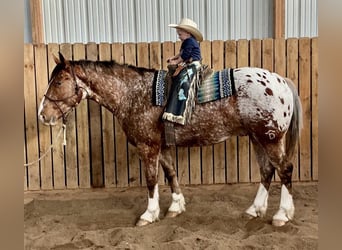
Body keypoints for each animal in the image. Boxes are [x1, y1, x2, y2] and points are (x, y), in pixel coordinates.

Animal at [38, 52, 304, 227]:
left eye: (59, 81)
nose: (42, 114)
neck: (133, 94)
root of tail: (281, 81)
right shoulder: (162, 146)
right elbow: (170, 172)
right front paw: (175, 206)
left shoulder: (148, 147)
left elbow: (151, 179)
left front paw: (149, 214)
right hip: (257, 138)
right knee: (267, 171)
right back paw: (254, 209)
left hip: (270, 138)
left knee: (285, 170)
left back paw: (282, 214)